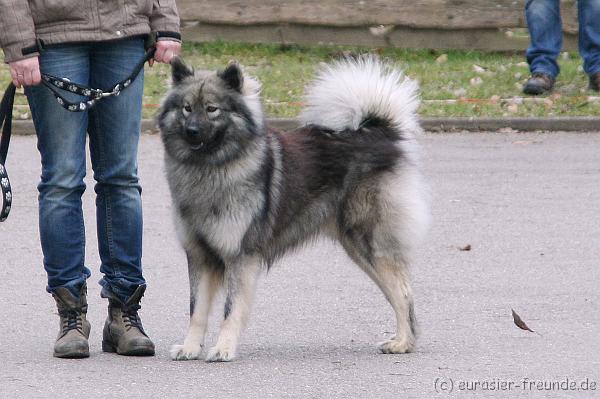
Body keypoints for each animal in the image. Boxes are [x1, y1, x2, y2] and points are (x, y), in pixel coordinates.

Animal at [158, 54, 432, 362]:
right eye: (186, 108)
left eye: (211, 109)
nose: (191, 131)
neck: (210, 168)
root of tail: (378, 130)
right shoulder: (200, 255)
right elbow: (197, 310)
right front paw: (190, 347)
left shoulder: (240, 256)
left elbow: (231, 309)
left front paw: (223, 348)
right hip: (358, 248)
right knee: (395, 291)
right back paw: (402, 340)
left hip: (370, 243)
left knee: (403, 292)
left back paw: (403, 343)